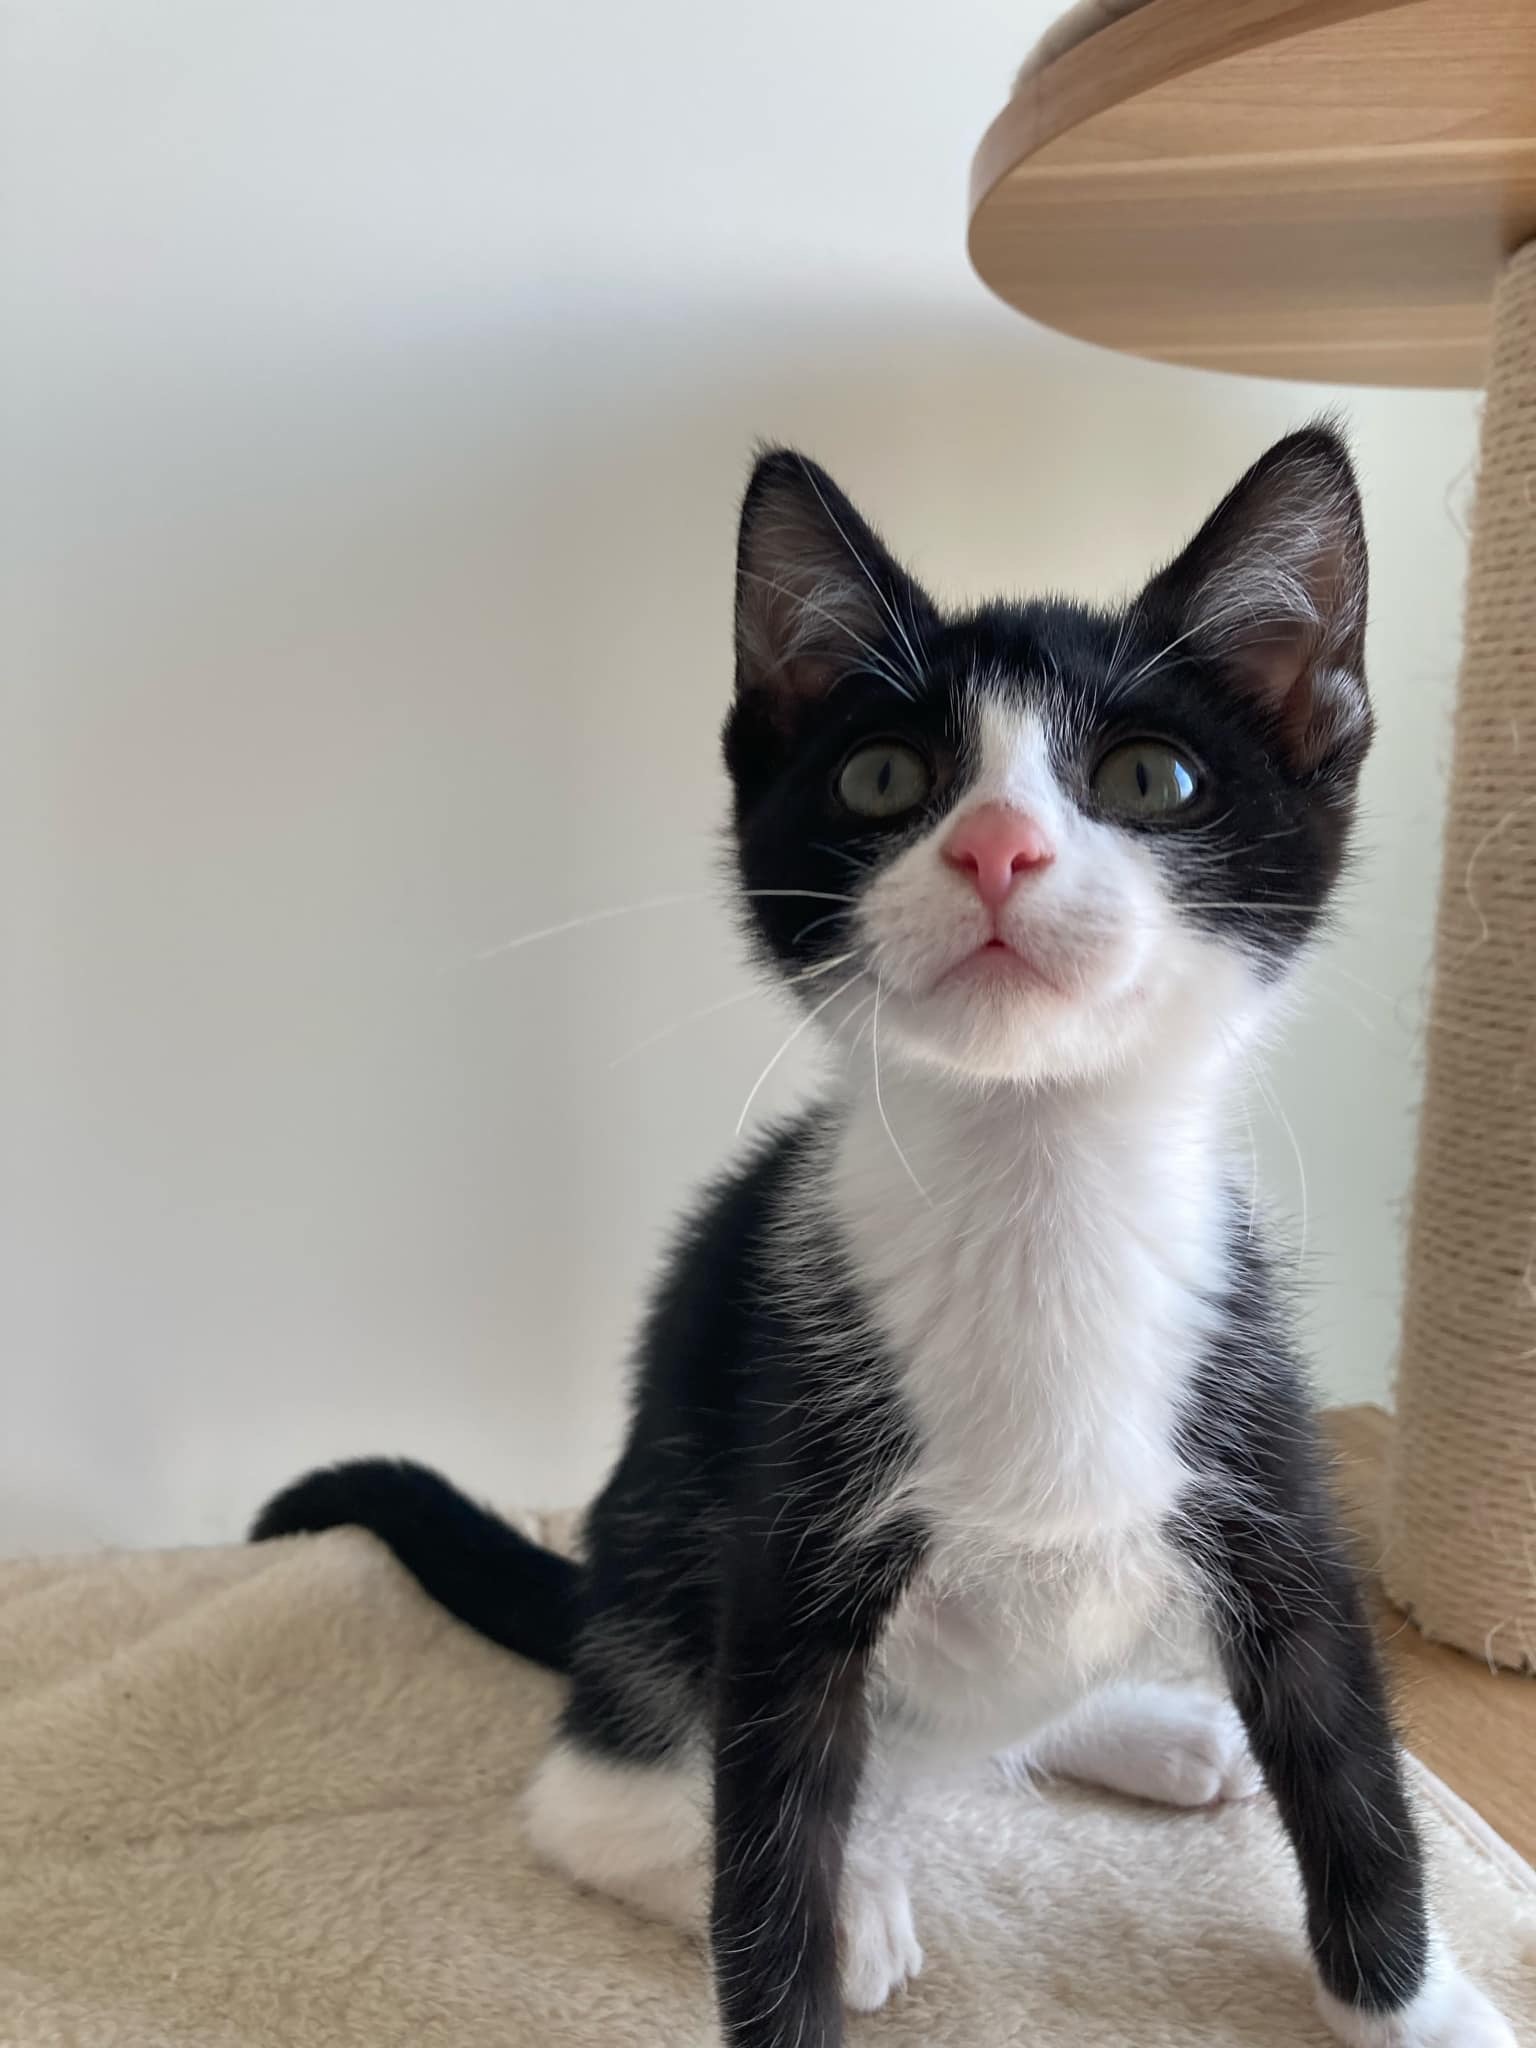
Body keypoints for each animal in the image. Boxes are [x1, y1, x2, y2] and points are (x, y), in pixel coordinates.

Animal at [252, 432, 1515, 2048]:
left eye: (1148, 778)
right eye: (886, 777)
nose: (998, 847)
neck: (1039, 1192)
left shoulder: (1273, 1473)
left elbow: (1354, 1773)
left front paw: (1420, 2011)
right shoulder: (783, 1546)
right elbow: (762, 1861)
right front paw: (808, 1933)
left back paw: (1148, 1726)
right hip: (665, 1558)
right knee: (602, 1798)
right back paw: (848, 1893)